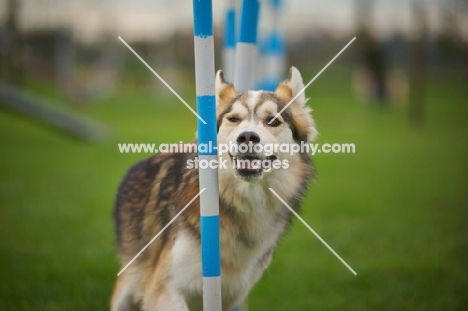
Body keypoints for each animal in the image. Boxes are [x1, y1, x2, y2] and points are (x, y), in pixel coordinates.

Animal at [111, 67, 320, 310]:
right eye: (234, 119)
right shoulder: (163, 291)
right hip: (126, 291)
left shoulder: (230, 294)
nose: (247, 137)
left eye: (272, 121)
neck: (244, 201)